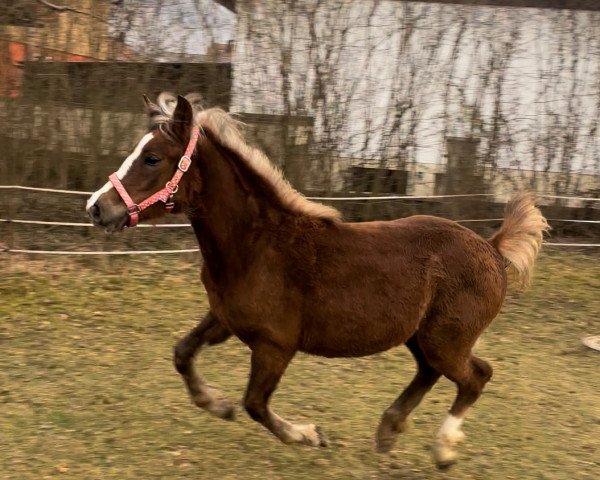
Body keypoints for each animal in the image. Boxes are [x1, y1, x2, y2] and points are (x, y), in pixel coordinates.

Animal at [86, 94, 552, 468]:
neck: (256, 246)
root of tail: (491, 247)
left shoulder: (275, 346)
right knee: (430, 373)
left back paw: (443, 449)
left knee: (476, 376)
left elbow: (255, 404)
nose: (97, 207)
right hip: (421, 338)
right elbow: (183, 354)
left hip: (446, 340)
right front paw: (216, 405)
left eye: (152, 158)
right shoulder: (224, 320)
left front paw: (308, 435)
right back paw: (388, 431)